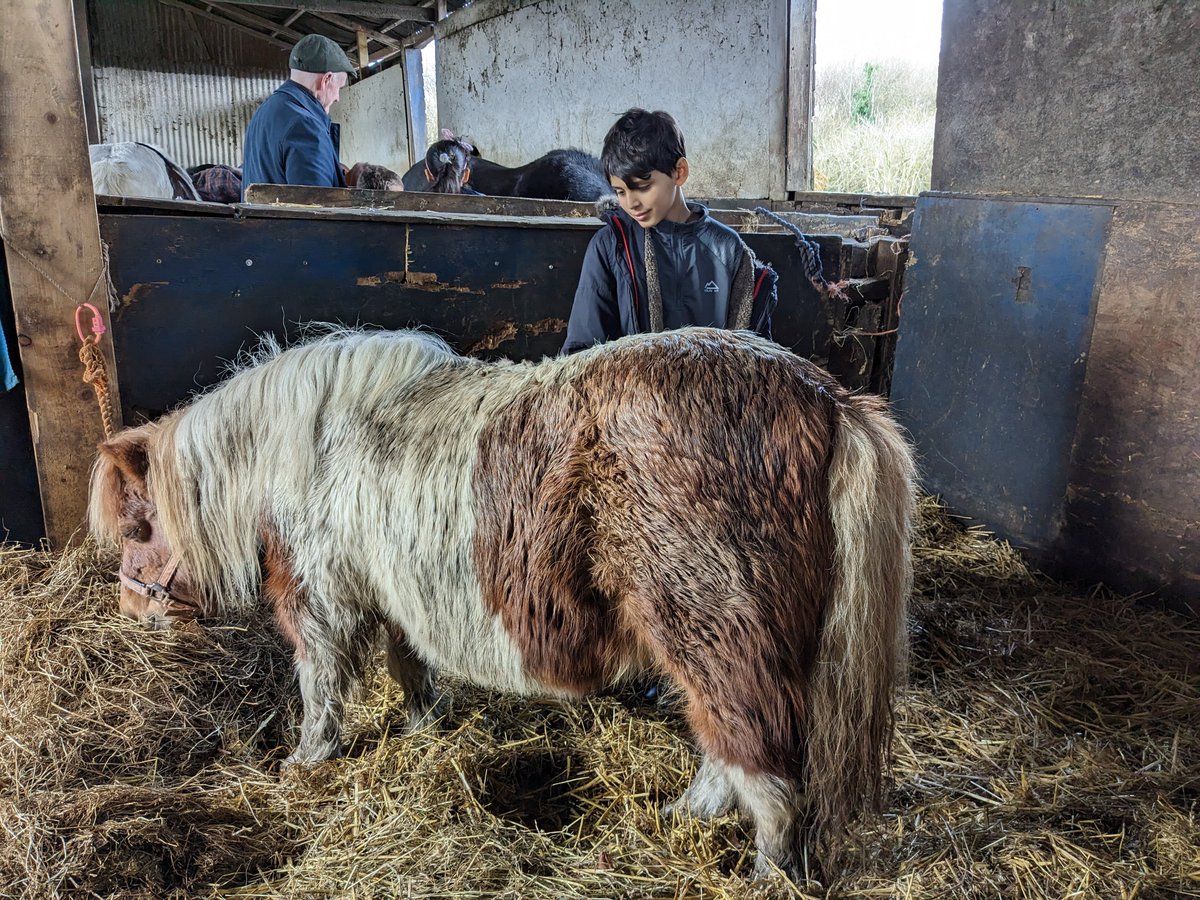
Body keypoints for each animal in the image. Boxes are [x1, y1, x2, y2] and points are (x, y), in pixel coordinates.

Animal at [88, 326, 916, 881]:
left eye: (138, 525)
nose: (131, 614)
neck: (309, 447)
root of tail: (828, 401)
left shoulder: (323, 597)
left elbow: (321, 682)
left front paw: (307, 760)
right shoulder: (394, 594)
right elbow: (409, 666)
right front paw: (423, 726)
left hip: (715, 631)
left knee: (760, 760)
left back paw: (765, 871)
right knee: (729, 744)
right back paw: (684, 817)